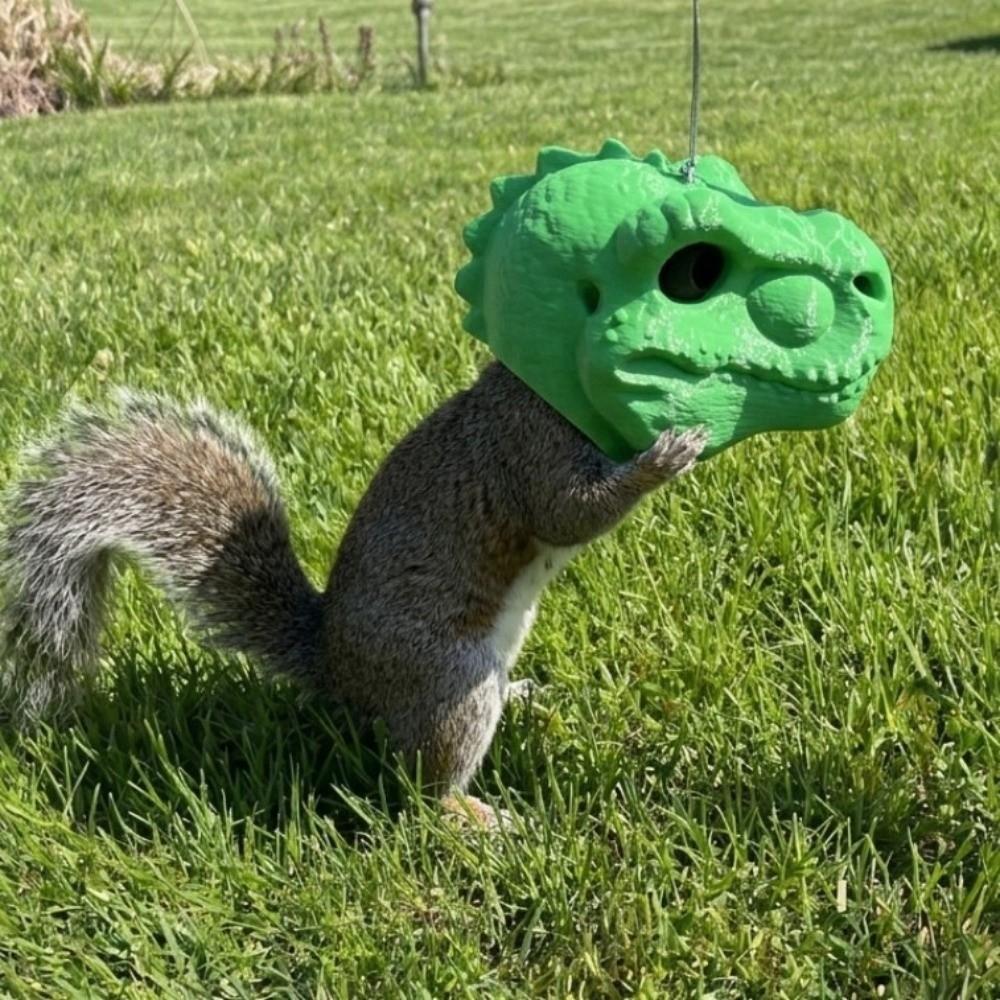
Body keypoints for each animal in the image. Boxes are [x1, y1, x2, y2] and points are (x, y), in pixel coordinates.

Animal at [0, 361, 705, 824]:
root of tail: (335, 670)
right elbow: (569, 513)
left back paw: (526, 696)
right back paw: (476, 818)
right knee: (425, 790)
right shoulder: (528, 445)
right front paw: (662, 460)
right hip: (450, 681)